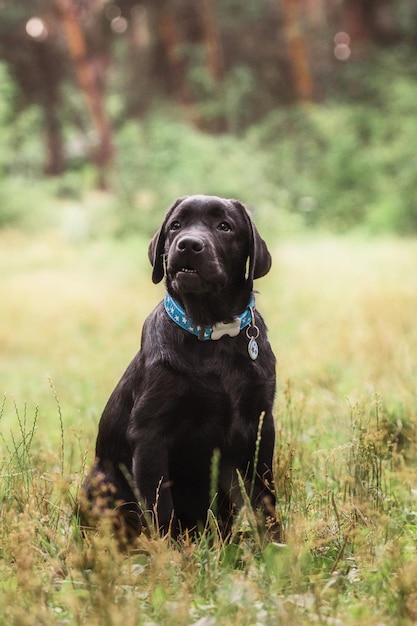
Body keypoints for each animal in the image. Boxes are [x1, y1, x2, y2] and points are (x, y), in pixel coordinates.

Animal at [79, 193, 278, 540]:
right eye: (175, 225)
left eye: (224, 226)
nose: (188, 244)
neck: (212, 334)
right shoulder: (150, 435)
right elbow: (160, 508)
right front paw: (167, 553)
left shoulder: (261, 424)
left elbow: (266, 497)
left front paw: (278, 545)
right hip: (100, 480)